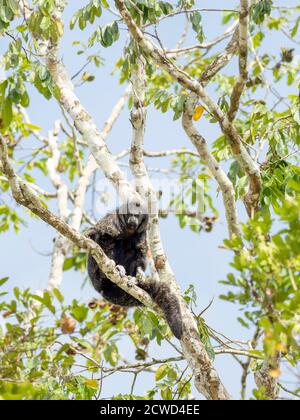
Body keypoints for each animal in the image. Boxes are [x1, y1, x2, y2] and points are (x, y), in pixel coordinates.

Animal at [85, 201, 183, 342]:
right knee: (107, 241)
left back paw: (132, 278)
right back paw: (111, 267)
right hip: (96, 275)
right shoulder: (111, 221)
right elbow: (93, 234)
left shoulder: (142, 232)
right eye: (130, 214)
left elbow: (140, 251)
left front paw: (139, 272)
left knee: (131, 248)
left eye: (137, 215)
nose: (133, 219)